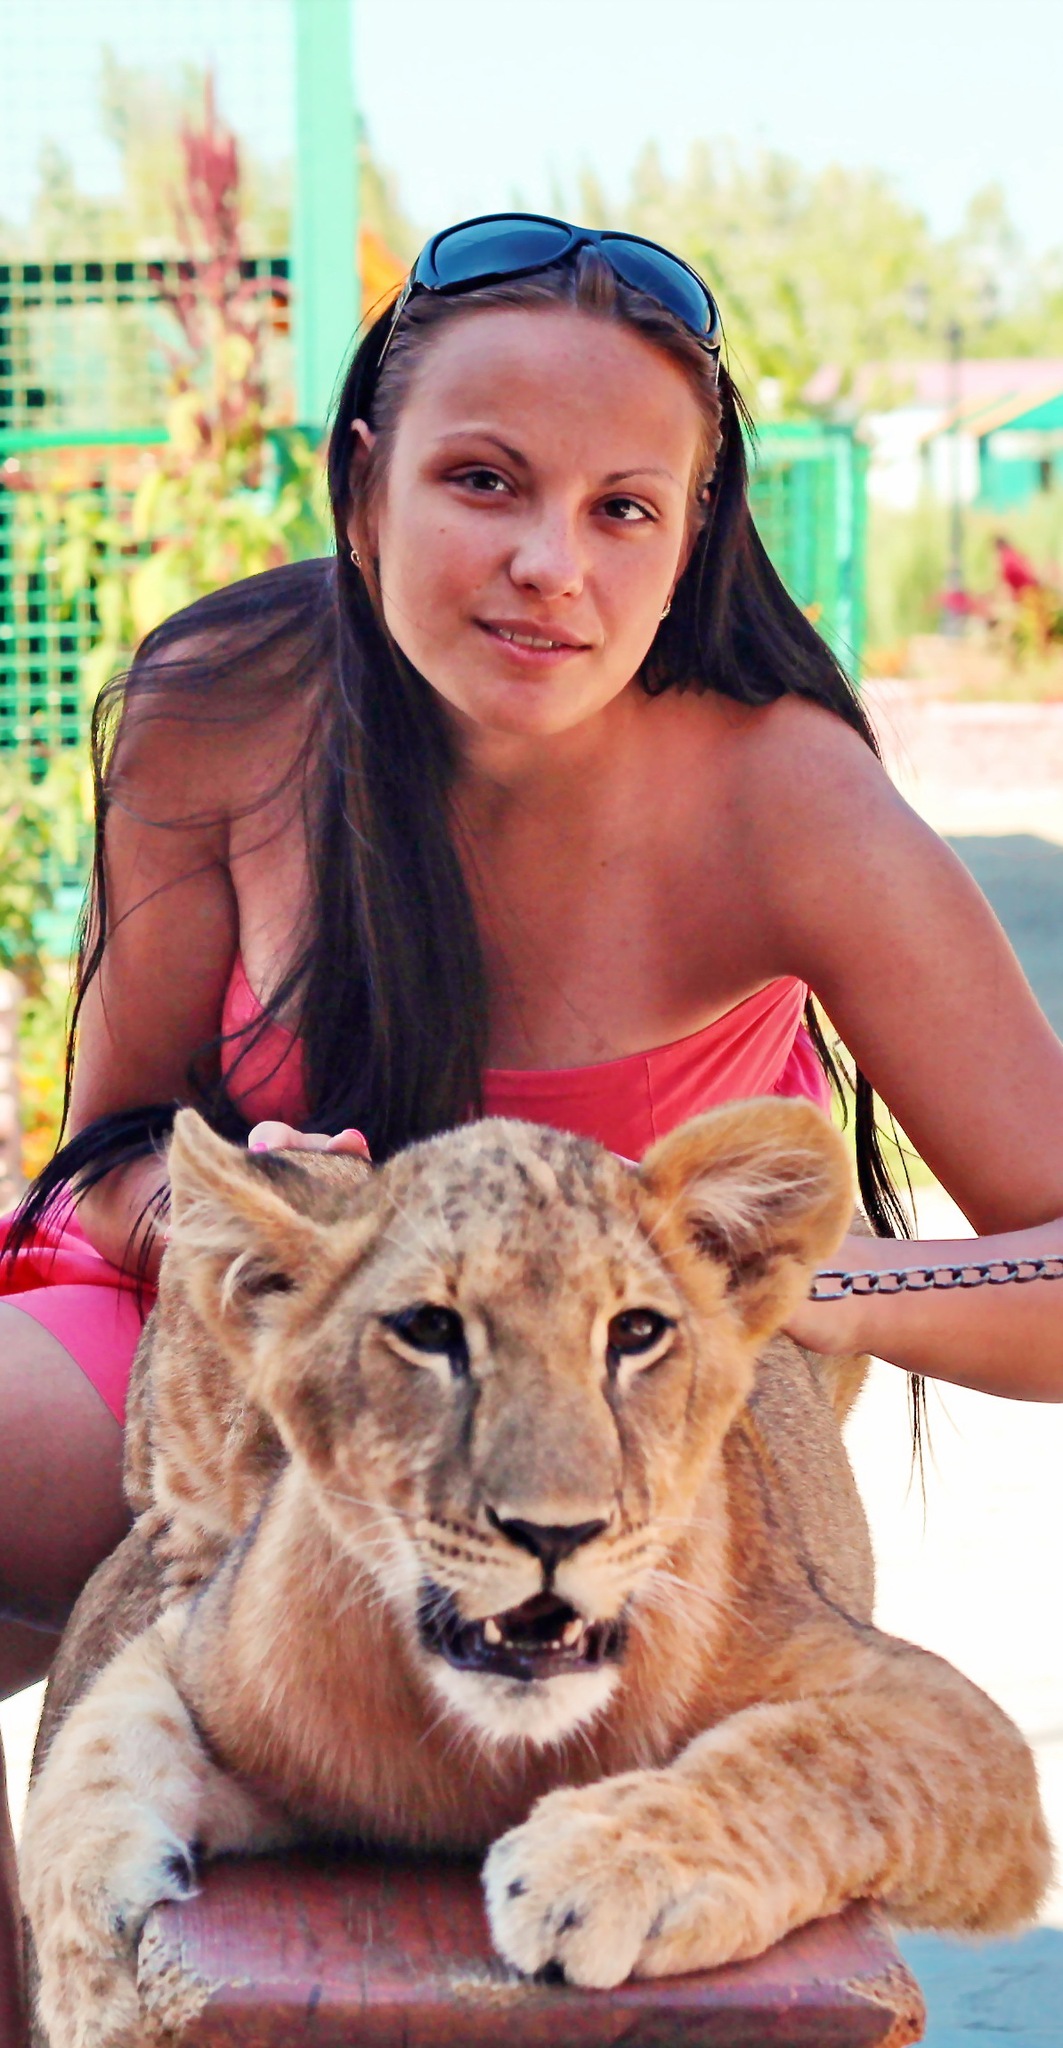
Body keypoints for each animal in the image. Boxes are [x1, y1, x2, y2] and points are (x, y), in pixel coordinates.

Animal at [19, 1099, 1052, 2048]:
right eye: (427, 1332)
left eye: (635, 1335)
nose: (554, 1530)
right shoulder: (196, 1646)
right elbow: (90, 1767)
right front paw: (94, 1981)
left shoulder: (946, 1718)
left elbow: (814, 1758)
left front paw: (601, 1868)